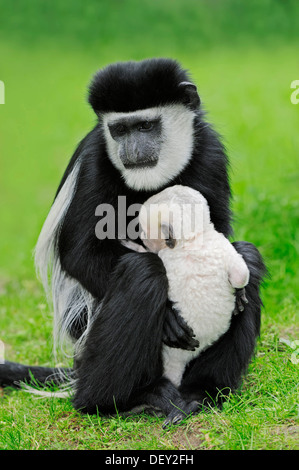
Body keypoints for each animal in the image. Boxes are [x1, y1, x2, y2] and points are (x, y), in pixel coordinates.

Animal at [137, 185, 251, 388]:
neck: (194, 238)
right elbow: (240, 275)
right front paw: (239, 291)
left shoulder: (166, 256)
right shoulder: (221, 244)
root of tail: (178, 360)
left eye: (145, 230)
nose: (141, 236)